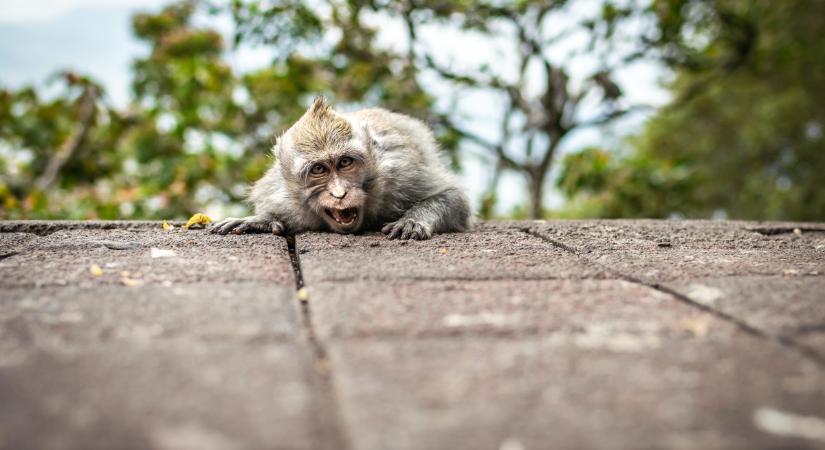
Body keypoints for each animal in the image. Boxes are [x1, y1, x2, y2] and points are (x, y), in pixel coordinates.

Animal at [209, 97, 470, 241]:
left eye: (345, 163)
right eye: (318, 169)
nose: (339, 193)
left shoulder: (401, 175)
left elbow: (454, 198)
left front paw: (413, 220)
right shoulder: (282, 197)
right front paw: (260, 220)